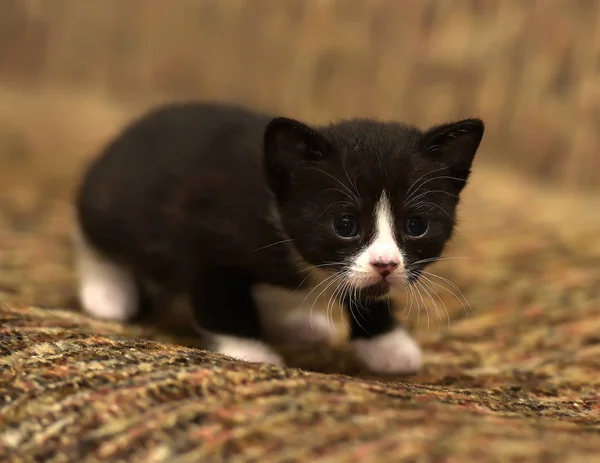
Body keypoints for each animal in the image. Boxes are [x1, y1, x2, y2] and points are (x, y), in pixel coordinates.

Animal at [75, 102, 486, 376]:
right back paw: (108, 293)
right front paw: (249, 350)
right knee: (95, 242)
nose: (386, 264)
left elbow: (367, 293)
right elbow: (221, 300)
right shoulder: (208, 239)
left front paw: (386, 344)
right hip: (108, 204)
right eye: (345, 224)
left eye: (416, 225)